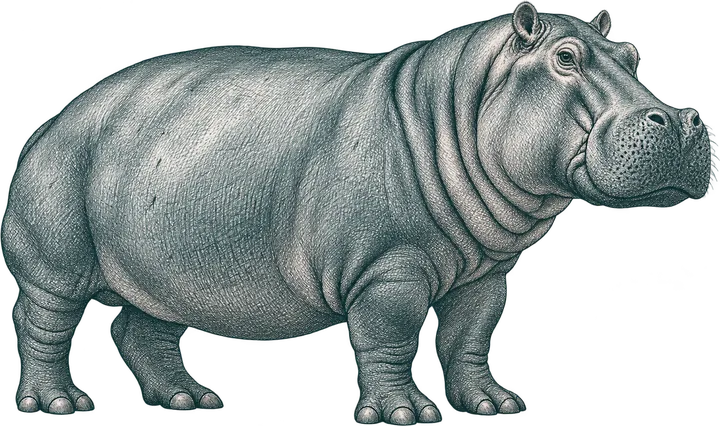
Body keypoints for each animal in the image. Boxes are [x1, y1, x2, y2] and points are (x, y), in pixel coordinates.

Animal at [3, 1, 717, 423]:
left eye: (633, 55)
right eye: (565, 58)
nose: (682, 121)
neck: (459, 104)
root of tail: (53, 120)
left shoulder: (488, 272)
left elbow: (470, 337)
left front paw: (494, 405)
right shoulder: (387, 269)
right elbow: (392, 337)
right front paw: (406, 415)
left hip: (159, 269)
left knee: (143, 329)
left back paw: (191, 400)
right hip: (54, 256)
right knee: (44, 325)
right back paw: (59, 405)